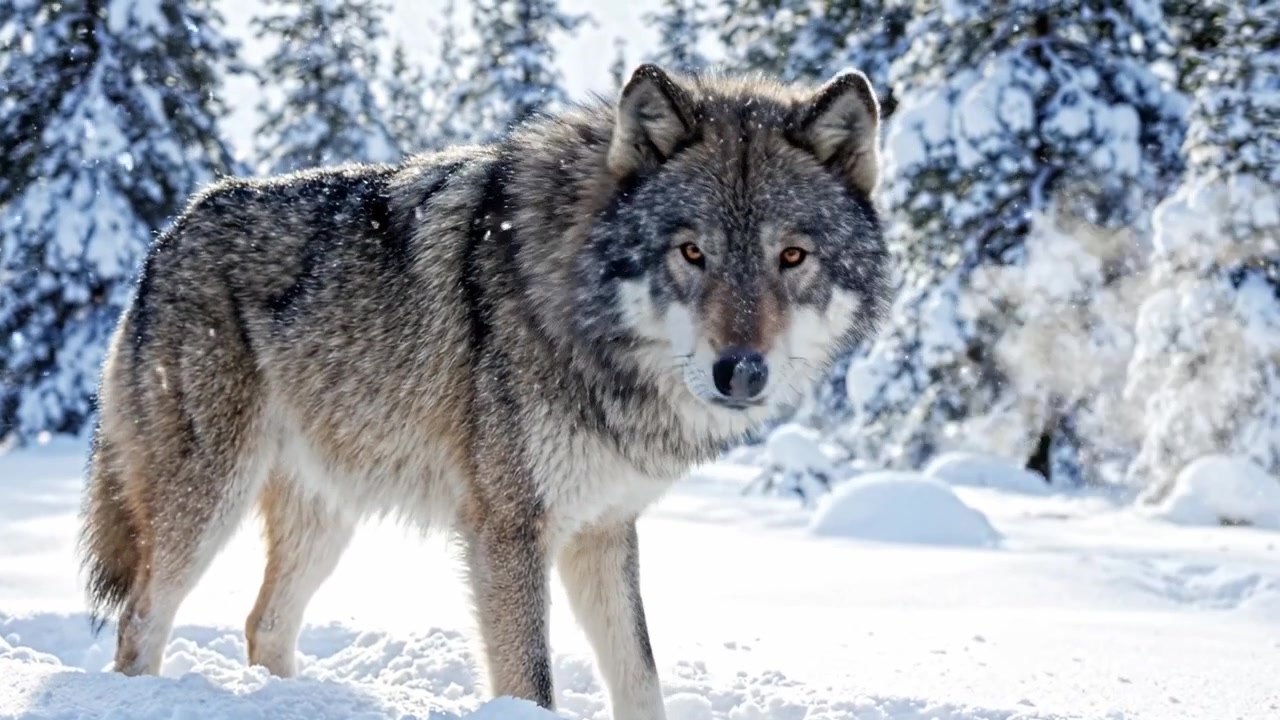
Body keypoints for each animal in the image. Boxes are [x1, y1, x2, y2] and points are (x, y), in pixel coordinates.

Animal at [77, 63, 890, 719]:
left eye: (793, 257)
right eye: (691, 252)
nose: (742, 371)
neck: (576, 312)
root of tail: (171, 230)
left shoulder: (603, 528)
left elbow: (640, 677)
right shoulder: (509, 528)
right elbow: (531, 682)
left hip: (326, 514)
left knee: (264, 624)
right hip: (208, 500)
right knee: (141, 617)